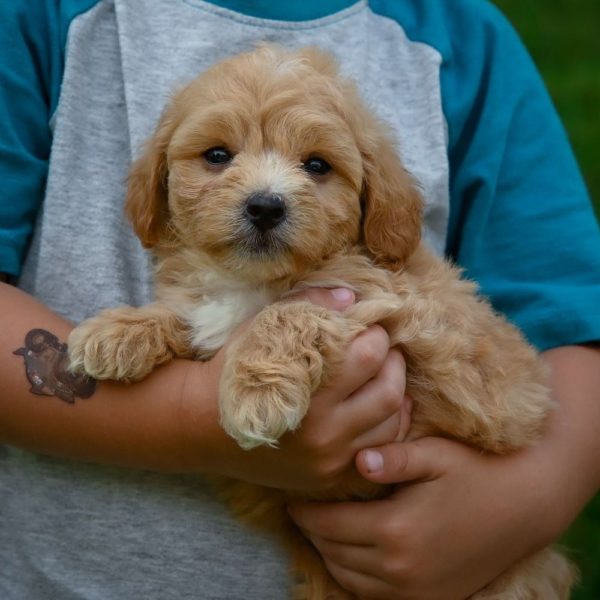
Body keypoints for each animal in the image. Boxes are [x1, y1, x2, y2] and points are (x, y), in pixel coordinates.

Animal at [69, 44, 576, 596]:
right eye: (218, 155)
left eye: (317, 165)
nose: (265, 206)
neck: (253, 280)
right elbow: (185, 314)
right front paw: (118, 331)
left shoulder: (387, 305)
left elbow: (291, 310)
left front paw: (257, 393)